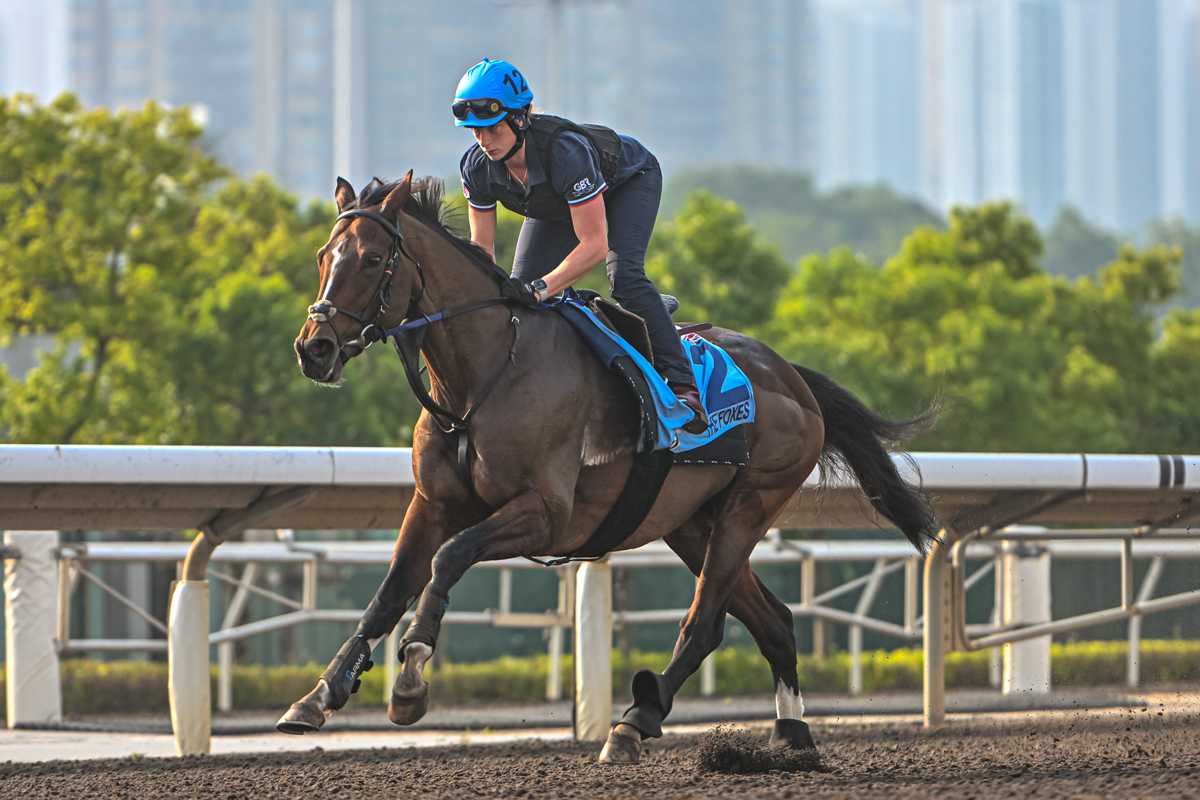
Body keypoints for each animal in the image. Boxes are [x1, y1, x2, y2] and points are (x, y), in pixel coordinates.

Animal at [278, 170, 936, 762]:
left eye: (370, 259)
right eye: (323, 256)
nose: (314, 348)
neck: (482, 375)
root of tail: (791, 376)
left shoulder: (547, 515)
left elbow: (449, 558)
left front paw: (411, 677)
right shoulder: (433, 503)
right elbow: (388, 593)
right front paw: (319, 696)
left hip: (750, 507)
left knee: (705, 624)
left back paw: (633, 724)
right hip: (690, 522)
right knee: (772, 620)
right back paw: (792, 736)